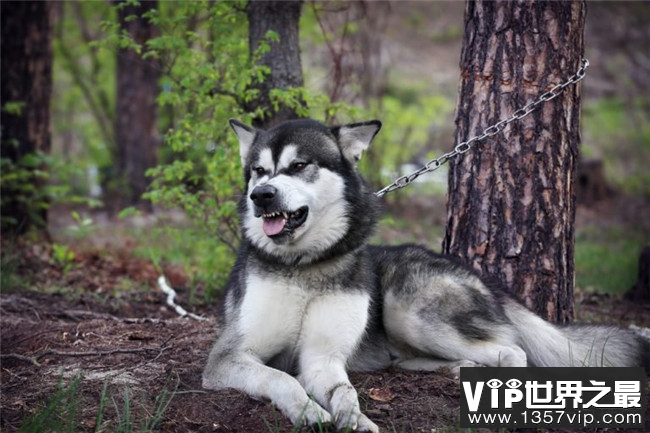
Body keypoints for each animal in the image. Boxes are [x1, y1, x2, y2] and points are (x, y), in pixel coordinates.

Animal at [201, 118, 644, 432]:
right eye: (259, 170)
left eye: (298, 166)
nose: (261, 196)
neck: (305, 265)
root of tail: (480, 278)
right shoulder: (230, 357)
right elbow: (281, 378)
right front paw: (312, 413)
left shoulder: (322, 358)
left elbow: (345, 393)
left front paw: (354, 418)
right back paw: (459, 369)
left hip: (407, 308)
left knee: (513, 352)